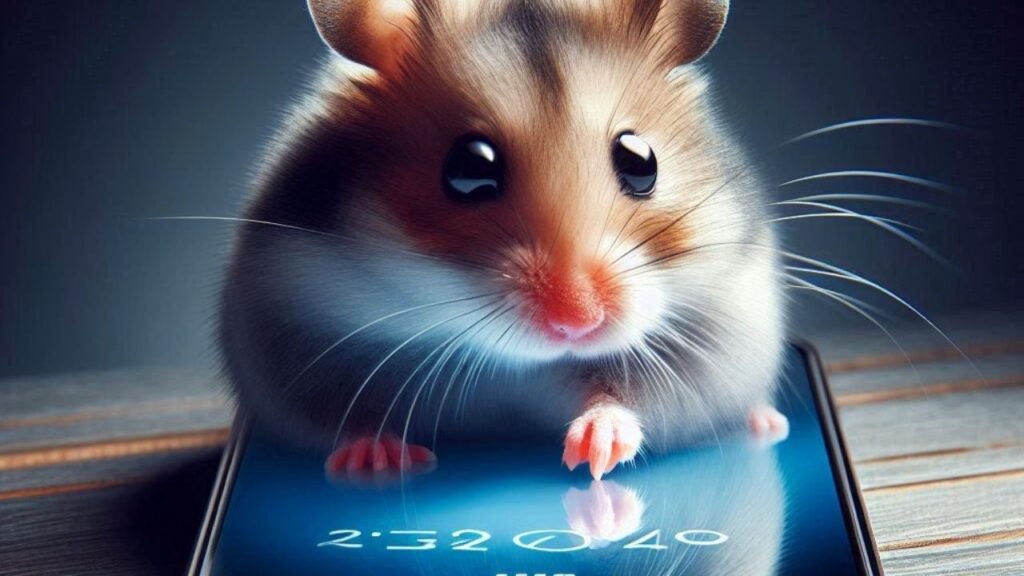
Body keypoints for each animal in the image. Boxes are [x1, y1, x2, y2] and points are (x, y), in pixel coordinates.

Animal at [220, 0, 788, 481]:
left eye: (640, 161)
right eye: (469, 170)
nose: (576, 323)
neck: (508, 362)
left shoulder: (710, 338)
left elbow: (625, 398)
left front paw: (594, 452)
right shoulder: (294, 327)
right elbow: (343, 412)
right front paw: (379, 460)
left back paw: (768, 420)